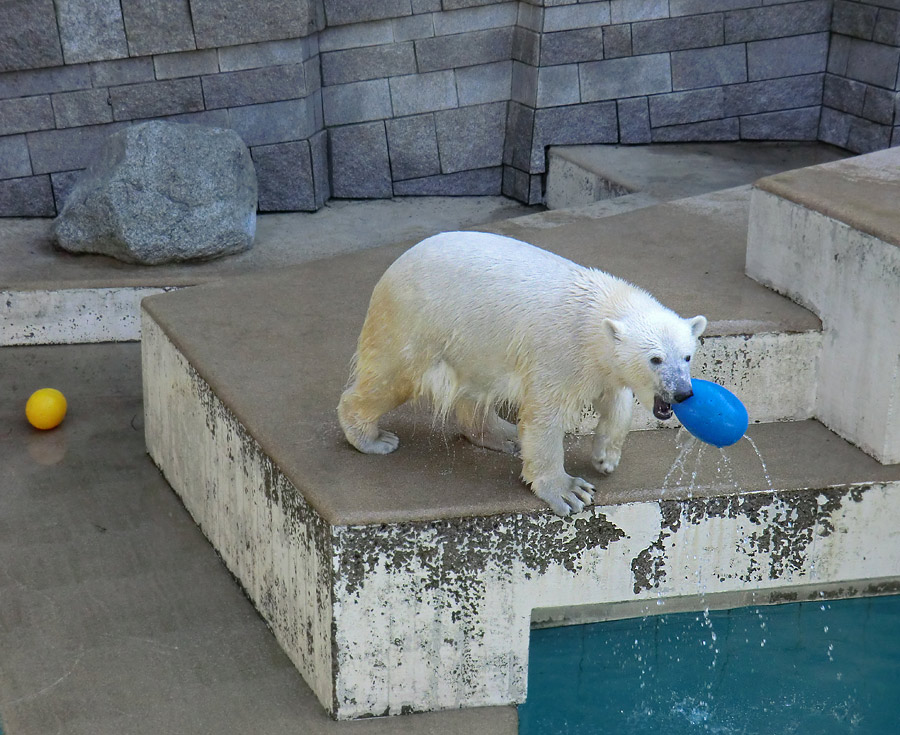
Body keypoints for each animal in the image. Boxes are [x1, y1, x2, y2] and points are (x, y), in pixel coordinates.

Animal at [334, 233, 708, 516]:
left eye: (687, 356)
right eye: (656, 359)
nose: (682, 393)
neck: (598, 311)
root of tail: (393, 267)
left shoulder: (601, 362)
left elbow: (616, 399)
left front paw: (605, 458)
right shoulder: (561, 352)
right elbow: (545, 417)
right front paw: (569, 491)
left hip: (471, 339)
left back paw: (504, 435)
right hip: (416, 322)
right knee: (391, 377)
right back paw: (371, 437)